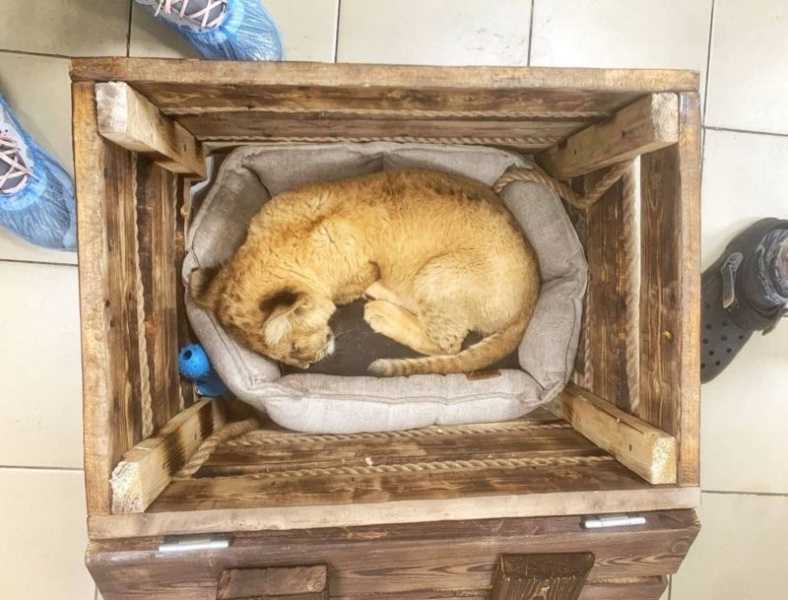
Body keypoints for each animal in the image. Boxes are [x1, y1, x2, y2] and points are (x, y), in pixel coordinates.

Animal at [190, 168, 540, 376]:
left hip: (441, 274)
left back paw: (379, 312)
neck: (282, 241)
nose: (309, 363)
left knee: (447, 344)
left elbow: (350, 288)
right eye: (287, 357)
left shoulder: (361, 270)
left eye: (293, 350)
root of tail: (534, 293)